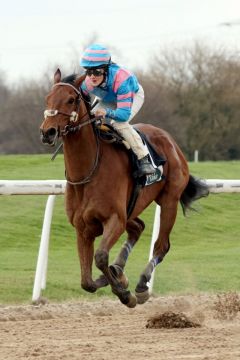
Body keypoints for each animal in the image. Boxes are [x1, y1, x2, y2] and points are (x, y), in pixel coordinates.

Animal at [39, 69, 208, 306]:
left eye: (71, 100)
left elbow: (101, 257)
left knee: (161, 245)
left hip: (169, 201)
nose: (48, 132)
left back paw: (142, 284)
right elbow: (86, 282)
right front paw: (116, 278)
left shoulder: (114, 219)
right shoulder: (83, 228)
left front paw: (124, 292)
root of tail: (170, 141)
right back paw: (119, 269)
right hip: (132, 207)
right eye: (48, 98)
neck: (88, 172)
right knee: (138, 228)